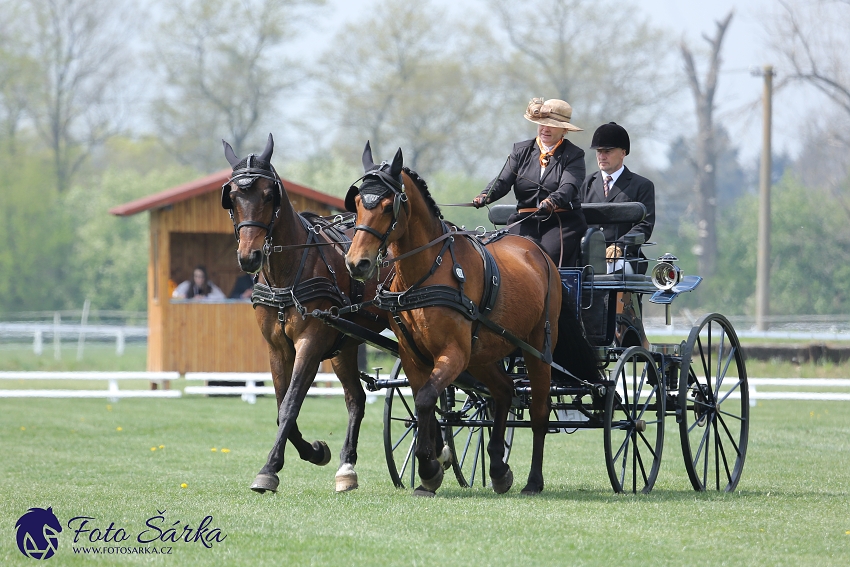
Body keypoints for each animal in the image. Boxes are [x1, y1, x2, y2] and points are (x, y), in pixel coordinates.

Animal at [222, 135, 388, 494]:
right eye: (233, 198)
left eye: (268, 195)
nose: (249, 257)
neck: (288, 273)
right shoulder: (277, 348)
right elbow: (283, 407)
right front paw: (315, 451)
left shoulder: (310, 344)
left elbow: (290, 404)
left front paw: (269, 469)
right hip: (344, 346)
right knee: (355, 399)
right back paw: (346, 468)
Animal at [342, 143, 596, 496]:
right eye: (356, 203)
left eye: (386, 204)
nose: (357, 263)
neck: (426, 273)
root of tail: (540, 254)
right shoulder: (413, 356)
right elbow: (424, 405)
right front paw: (432, 467)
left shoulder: (453, 352)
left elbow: (425, 401)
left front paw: (429, 468)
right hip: (483, 355)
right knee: (503, 392)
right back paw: (499, 469)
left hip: (537, 348)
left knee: (539, 411)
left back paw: (533, 481)